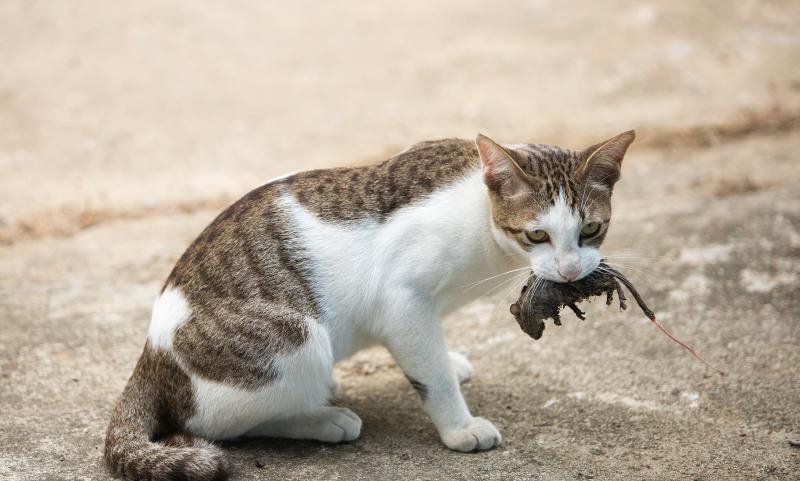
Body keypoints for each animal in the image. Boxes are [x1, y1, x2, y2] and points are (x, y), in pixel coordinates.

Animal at [103, 132, 636, 480]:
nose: (570, 270)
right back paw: (321, 418)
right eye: (537, 234)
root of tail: (151, 353)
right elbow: (431, 376)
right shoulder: (403, 302)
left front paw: (450, 361)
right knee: (212, 425)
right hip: (296, 334)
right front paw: (459, 427)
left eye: (591, 229)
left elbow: (435, 357)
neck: (481, 217)